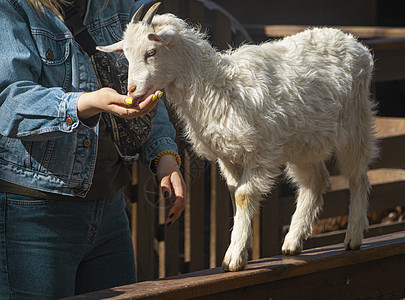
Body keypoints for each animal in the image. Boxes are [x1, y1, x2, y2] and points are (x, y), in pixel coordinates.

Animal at [98, 2, 376, 272]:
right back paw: (293, 241)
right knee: (315, 182)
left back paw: (353, 237)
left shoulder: (258, 152)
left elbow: (243, 196)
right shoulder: (228, 156)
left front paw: (233, 257)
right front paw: (242, 247)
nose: (132, 90)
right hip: (304, 142)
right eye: (126, 55)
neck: (219, 85)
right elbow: (234, 194)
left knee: (358, 178)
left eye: (151, 52)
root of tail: (353, 42)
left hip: (355, 125)